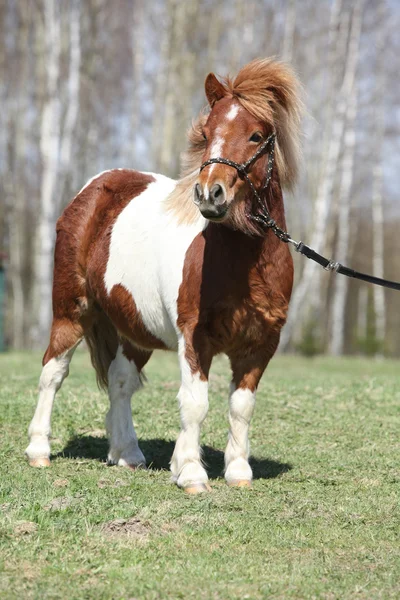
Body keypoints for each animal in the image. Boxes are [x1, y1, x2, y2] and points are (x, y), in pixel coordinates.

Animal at [25, 58, 300, 494]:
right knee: (53, 372)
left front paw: (239, 471)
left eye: (256, 135)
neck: (243, 264)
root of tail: (91, 190)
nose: (210, 194)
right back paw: (39, 451)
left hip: (136, 329)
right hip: (71, 311)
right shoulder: (195, 339)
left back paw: (128, 454)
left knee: (120, 380)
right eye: (207, 133)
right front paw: (190, 472)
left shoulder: (261, 344)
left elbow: (241, 406)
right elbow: (195, 402)